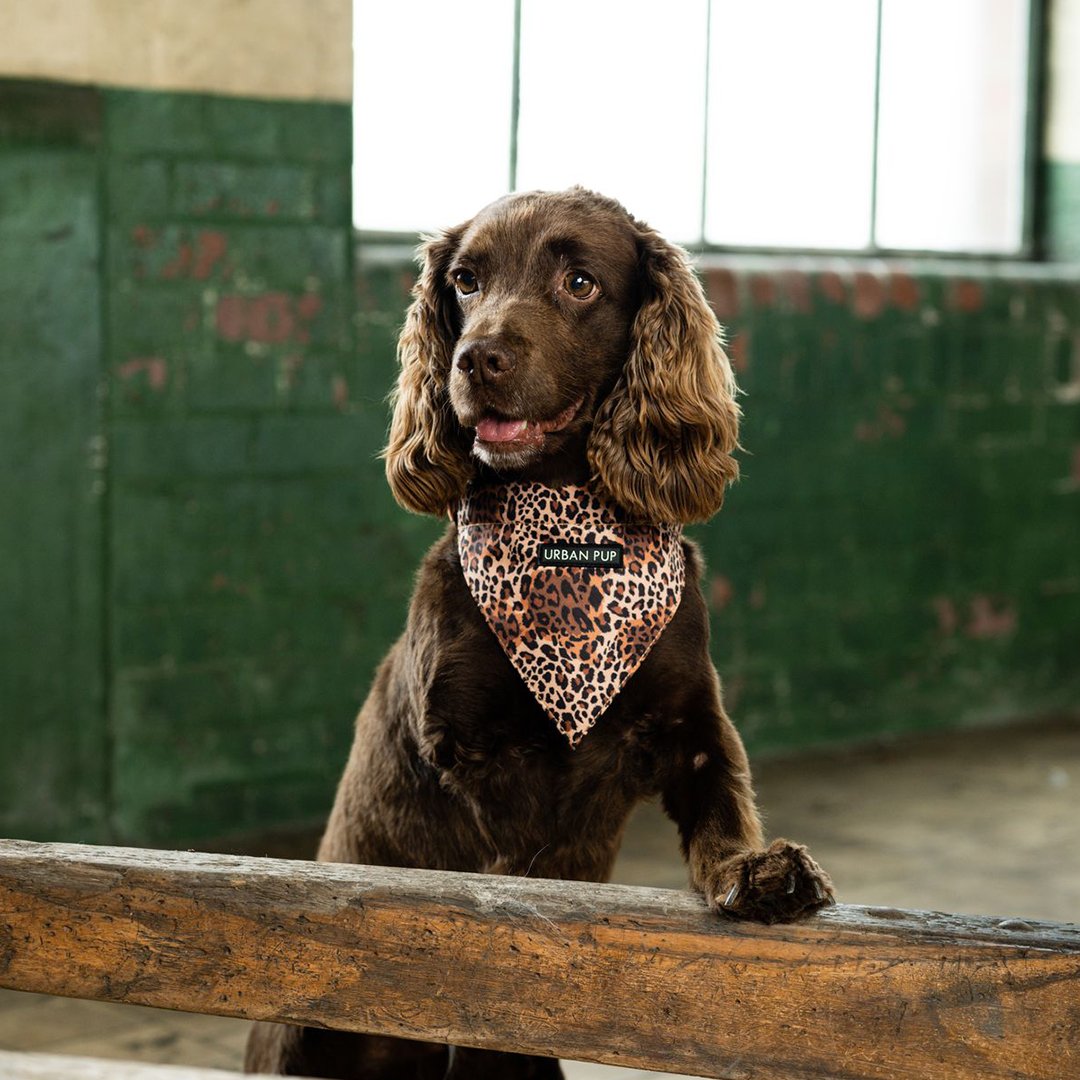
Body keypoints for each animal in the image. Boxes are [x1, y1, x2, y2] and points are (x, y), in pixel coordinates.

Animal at [247, 187, 833, 1080]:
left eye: (580, 282)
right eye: (464, 280)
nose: (475, 359)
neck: (566, 543)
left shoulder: (693, 722)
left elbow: (724, 803)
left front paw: (759, 872)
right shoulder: (467, 753)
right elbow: (509, 882)